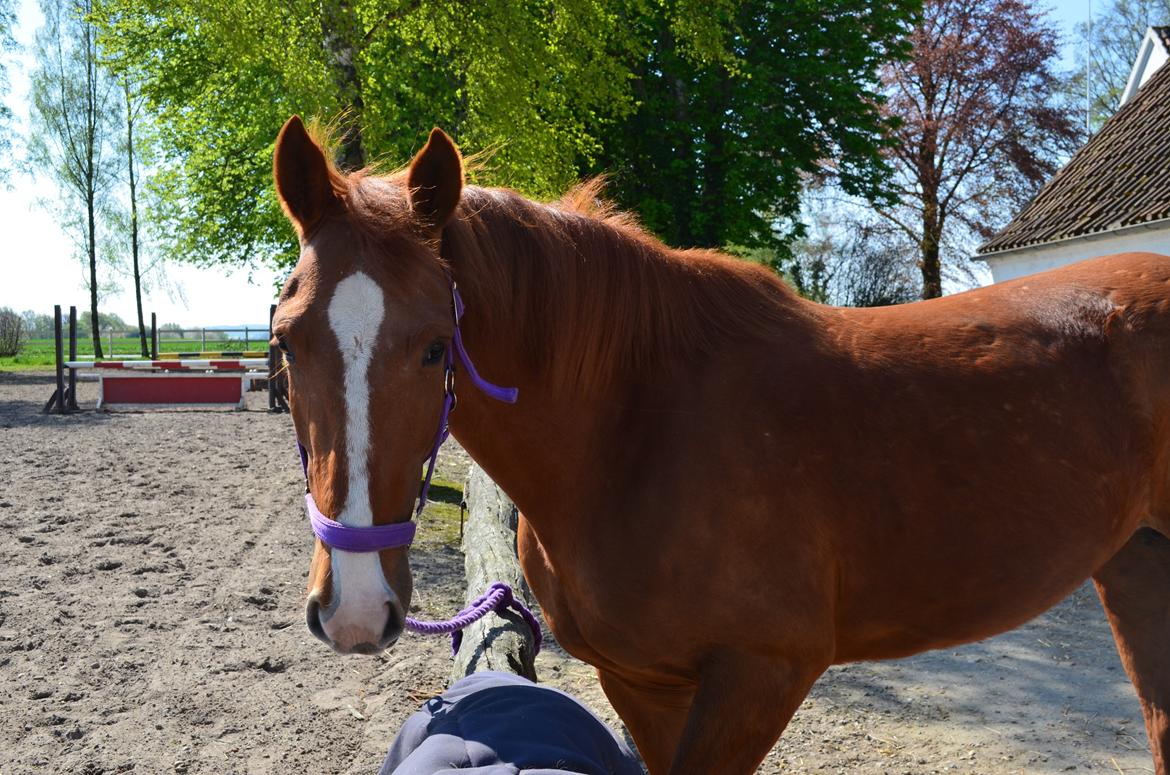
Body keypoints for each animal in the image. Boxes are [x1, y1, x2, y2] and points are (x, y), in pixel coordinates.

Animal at [271, 117, 1170, 775]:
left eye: (435, 347)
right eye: (285, 339)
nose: (354, 608)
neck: (636, 429)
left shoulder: (758, 675)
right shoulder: (642, 680)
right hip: (1134, 566)